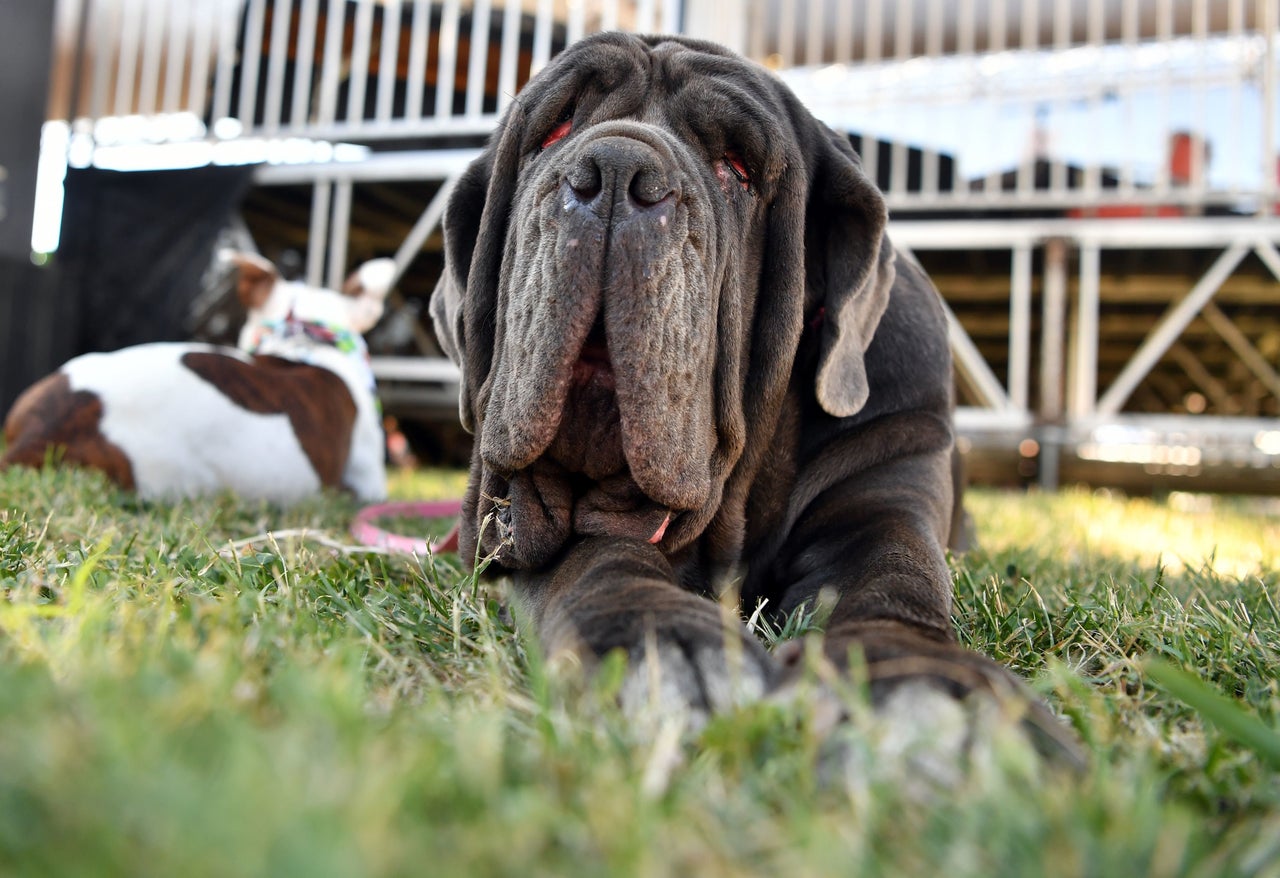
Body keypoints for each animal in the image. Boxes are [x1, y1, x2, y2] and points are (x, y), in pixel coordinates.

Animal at [430, 32, 1080, 762]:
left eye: (737, 169)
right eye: (555, 130)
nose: (617, 171)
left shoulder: (888, 477)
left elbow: (896, 573)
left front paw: (929, 687)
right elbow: (598, 557)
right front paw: (662, 643)